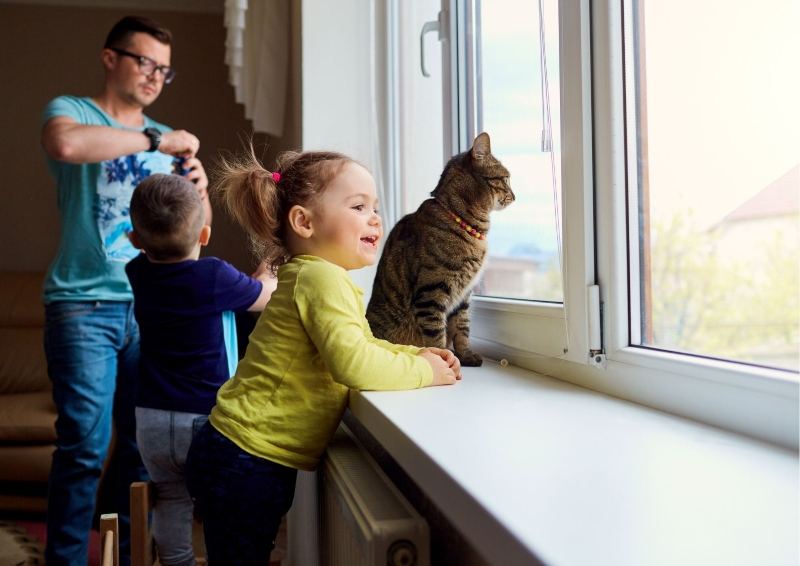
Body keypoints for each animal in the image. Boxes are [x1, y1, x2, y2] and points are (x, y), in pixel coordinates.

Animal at [368, 132, 516, 368]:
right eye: (506, 179)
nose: (515, 195)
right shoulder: (431, 293)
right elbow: (437, 336)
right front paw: (445, 362)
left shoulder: (463, 297)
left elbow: (462, 328)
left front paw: (465, 355)